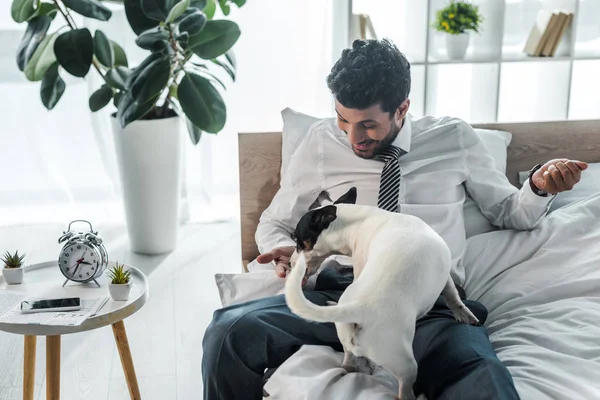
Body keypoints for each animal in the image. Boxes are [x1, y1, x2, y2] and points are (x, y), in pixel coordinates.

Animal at [284, 188, 478, 400]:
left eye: (298, 241)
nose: (290, 264)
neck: (354, 223)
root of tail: (359, 309)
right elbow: (452, 294)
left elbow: (453, 296)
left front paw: (463, 313)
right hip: (405, 364)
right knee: (404, 391)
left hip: (349, 342)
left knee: (349, 360)